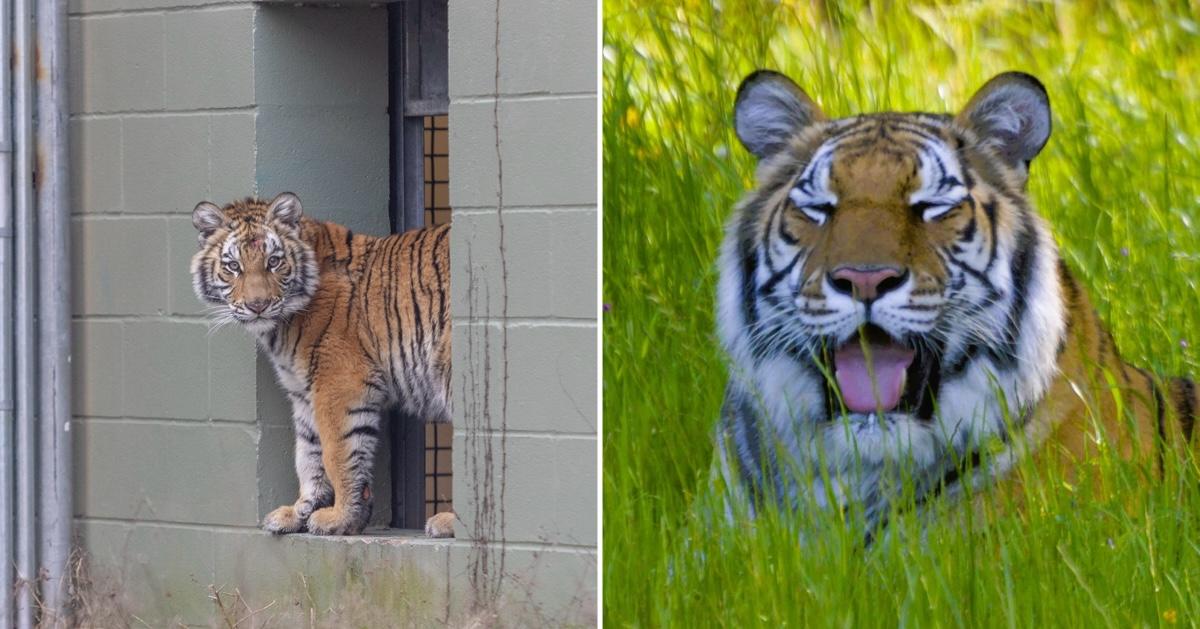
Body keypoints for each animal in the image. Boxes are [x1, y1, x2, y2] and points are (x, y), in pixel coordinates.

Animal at [189, 193, 451, 535]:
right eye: (233, 266)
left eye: (274, 261)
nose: (258, 305)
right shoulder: (304, 392)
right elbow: (308, 453)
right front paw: (300, 512)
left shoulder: (339, 383)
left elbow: (337, 453)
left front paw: (339, 517)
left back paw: (448, 522)